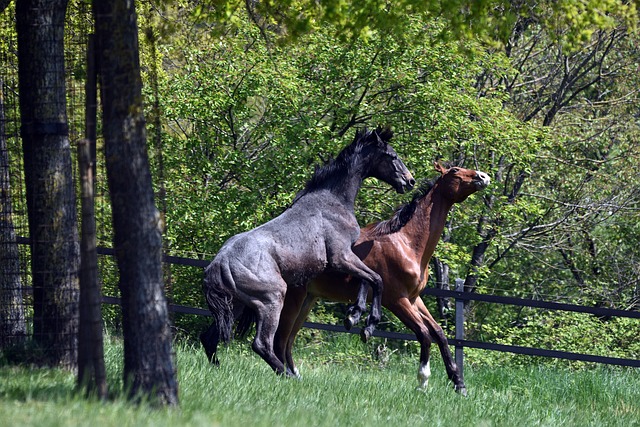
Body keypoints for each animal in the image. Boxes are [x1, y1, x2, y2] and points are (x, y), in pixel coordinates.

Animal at [202, 128, 418, 378]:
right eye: (392, 156)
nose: (410, 181)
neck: (333, 201)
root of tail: (219, 263)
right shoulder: (340, 258)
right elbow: (377, 279)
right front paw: (368, 324)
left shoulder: (347, 258)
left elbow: (367, 279)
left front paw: (354, 315)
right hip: (272, 300)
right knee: (262, 344)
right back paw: (289, 376)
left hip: (236, 304)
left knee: (209, 338)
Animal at [276, 163, 490, 394]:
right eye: (454, 171)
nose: (483, 176)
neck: (406, 243)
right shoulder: (396, 301)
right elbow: (424, 334)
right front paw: (422, 381)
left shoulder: (414, 299)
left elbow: (439, 333)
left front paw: (459, 383)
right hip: (294, 298)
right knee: (280, 338)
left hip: (307, 300)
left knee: (288, 341)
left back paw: (294, 375)